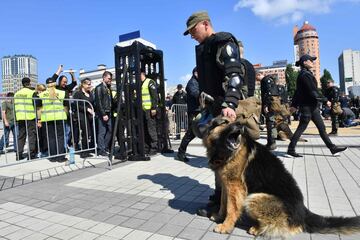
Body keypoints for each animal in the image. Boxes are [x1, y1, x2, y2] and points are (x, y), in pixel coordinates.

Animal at [202, 116, 360, 238]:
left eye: (237, 121)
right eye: (224, 122)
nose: (241, 126)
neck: (224, 152)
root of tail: (303, 212)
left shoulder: (235, 187)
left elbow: (232, 208)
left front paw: (226, 226)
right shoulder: (226, 184)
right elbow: (224, 203)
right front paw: (219, 216)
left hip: (254, 198)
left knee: (286, 227)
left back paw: (258, 229)